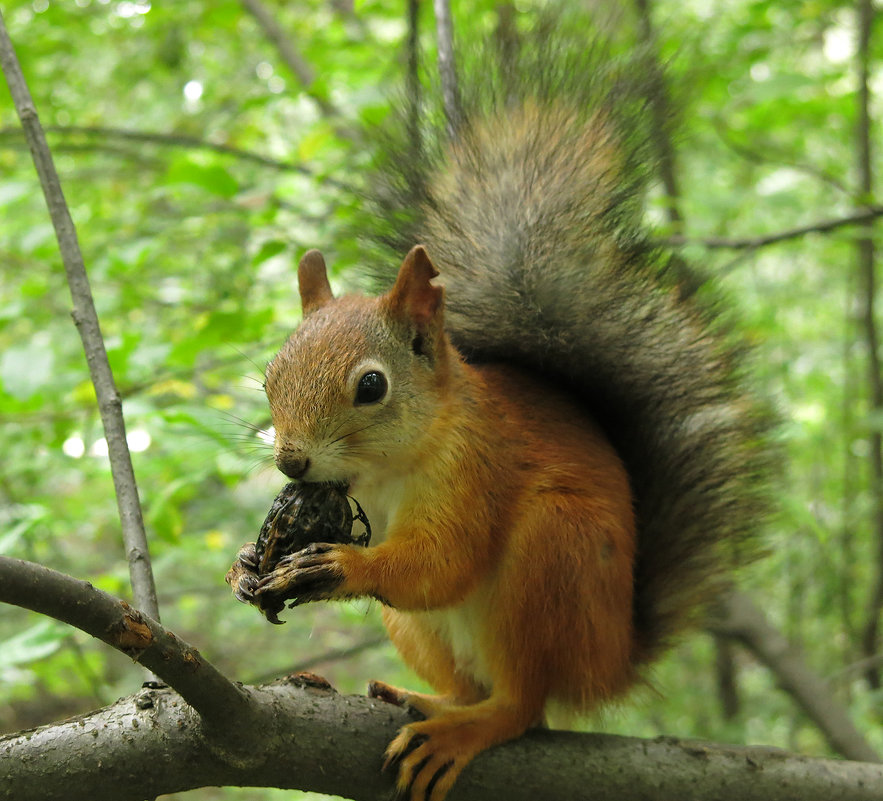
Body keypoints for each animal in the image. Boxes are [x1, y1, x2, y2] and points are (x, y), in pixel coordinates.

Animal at [242, 12, 772, 800]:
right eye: (270, 375)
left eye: (371, 386)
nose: (291, 461)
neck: (393, 465)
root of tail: (610, 661)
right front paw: (249, 560)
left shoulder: (478, 466)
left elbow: (445, 562)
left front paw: (339, 566)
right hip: (423, 630)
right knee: (467, 679)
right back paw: (422, 698)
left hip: (551, 560)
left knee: (521, 704)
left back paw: (469, 727)